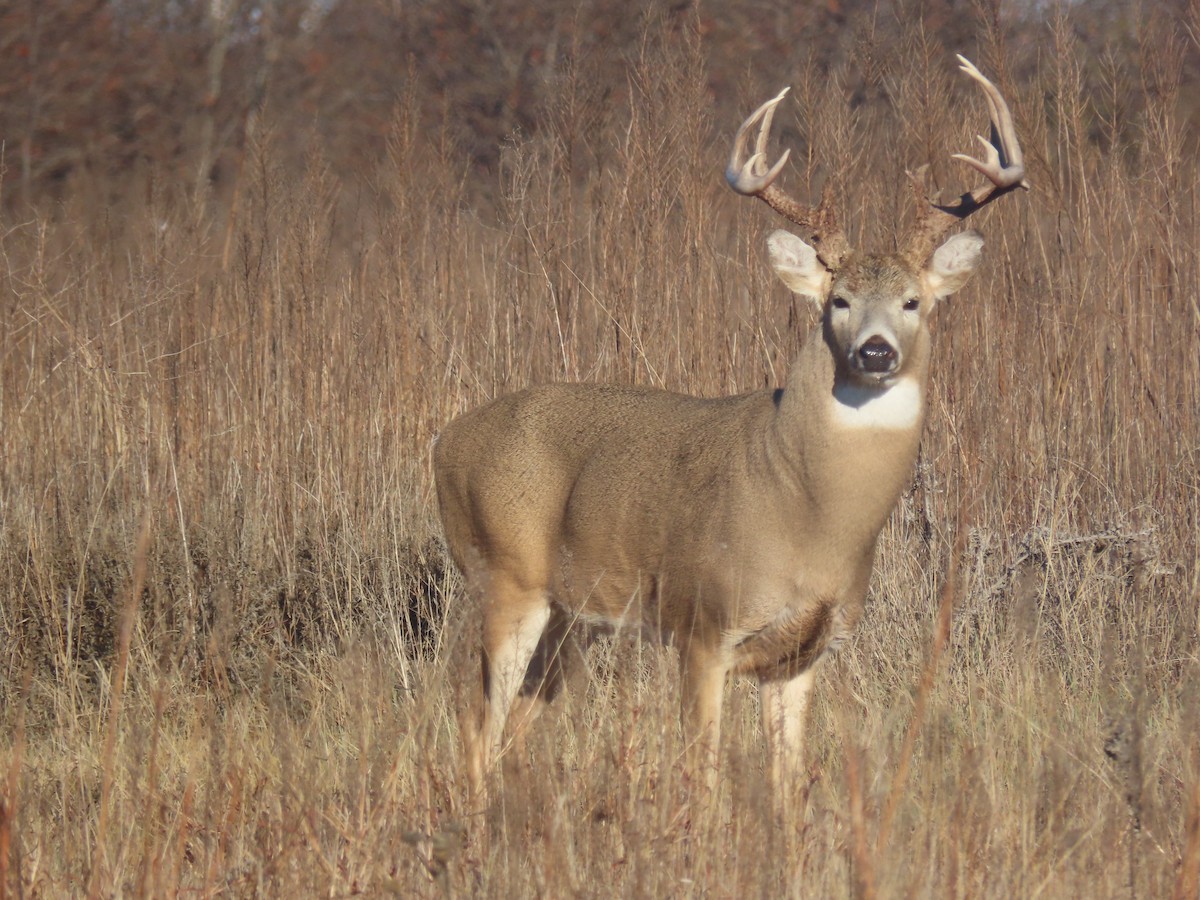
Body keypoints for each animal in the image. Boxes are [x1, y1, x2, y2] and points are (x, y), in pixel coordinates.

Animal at [434, 55, 1027, 805]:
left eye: (913, 301)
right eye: (838, 301)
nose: (875, 352)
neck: (809, 515)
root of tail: (444, 441)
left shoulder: (805, 650)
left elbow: (787, 779)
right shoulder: (702, 622)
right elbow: (704, 771)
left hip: (573, 617)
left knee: (516, 720)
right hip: (503, 575)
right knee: (475, 716)